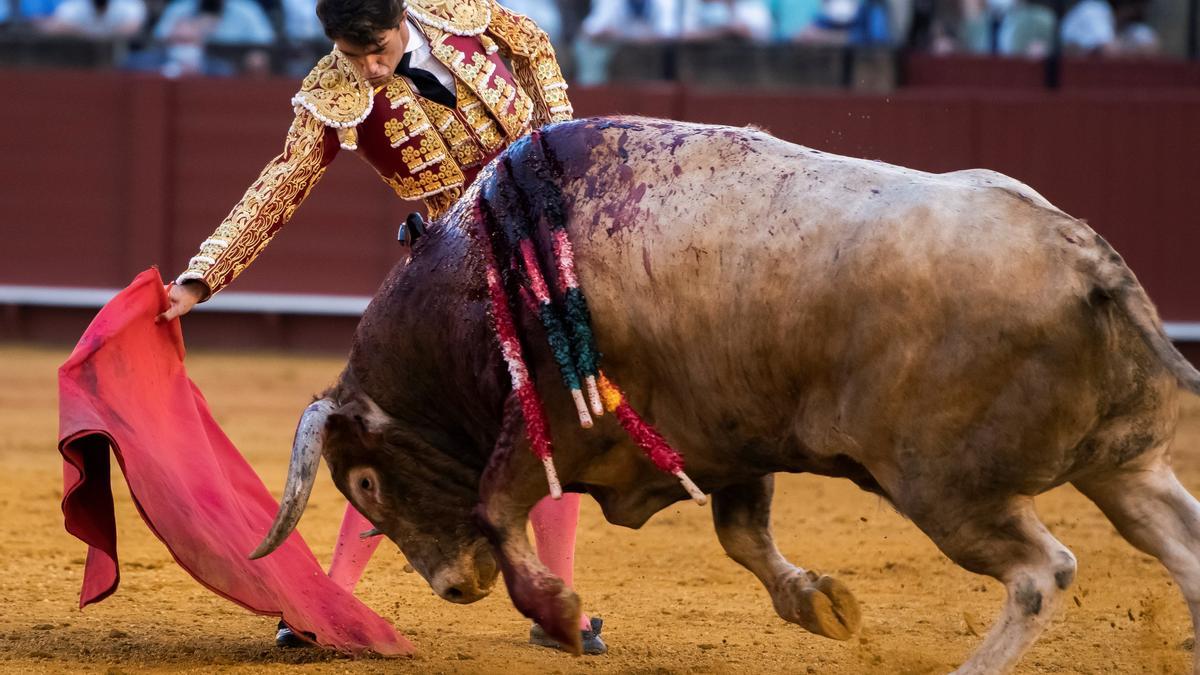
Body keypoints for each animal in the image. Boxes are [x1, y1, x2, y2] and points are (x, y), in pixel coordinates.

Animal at [250, 118, 1200, 667]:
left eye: (365, 480)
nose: (454, 587)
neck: (481, 283)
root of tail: (1085, 256)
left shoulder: (547, 421)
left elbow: (495, 504)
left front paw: (560, 612)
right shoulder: (732, 436)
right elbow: (742, 535)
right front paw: (821, 603)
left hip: (947, 489)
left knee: (1042, 572)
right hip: (1125, 464)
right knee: (1179, 545)